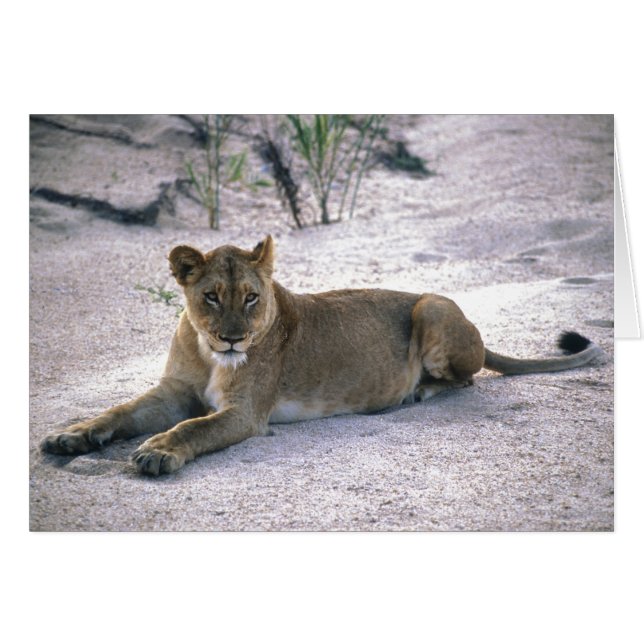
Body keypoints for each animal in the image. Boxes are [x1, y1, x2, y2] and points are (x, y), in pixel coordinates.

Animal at [40, 236, 603, 475]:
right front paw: (70, 437)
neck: (205, 349)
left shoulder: (245, 414)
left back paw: (416, 392)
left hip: (432, 305)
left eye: (251, 297)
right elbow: (118, 412)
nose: (233, 339)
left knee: (464, 378)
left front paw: (158, 451)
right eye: (211, 297)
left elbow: (192, 428)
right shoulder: (172, 392)